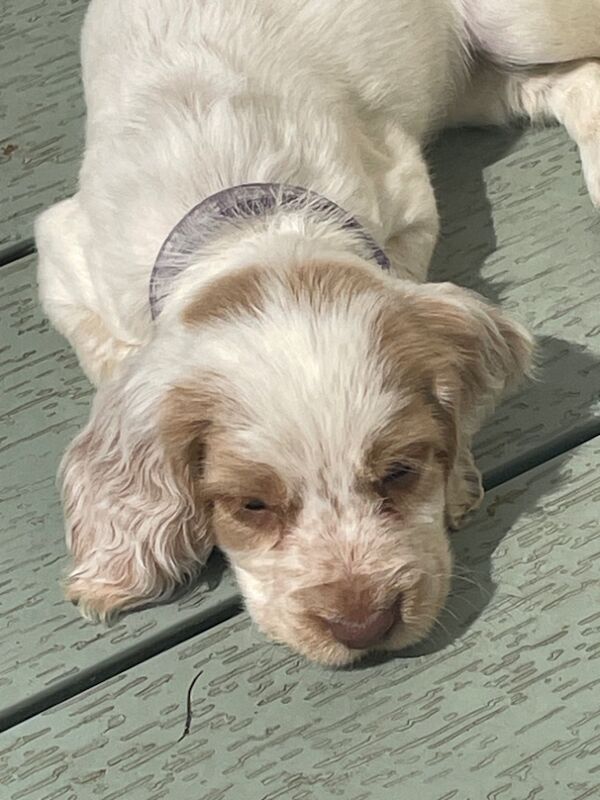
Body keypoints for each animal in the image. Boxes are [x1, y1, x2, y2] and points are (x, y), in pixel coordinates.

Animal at [35, 0, 600, 664]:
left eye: (400, 471)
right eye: (251, 505)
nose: (364, 627)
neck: (248, 223)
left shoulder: (405, 197)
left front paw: (458, 479)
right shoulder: (62, 257)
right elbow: (116, 364)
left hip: (522, 25)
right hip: (479, 84)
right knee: (564, 82)